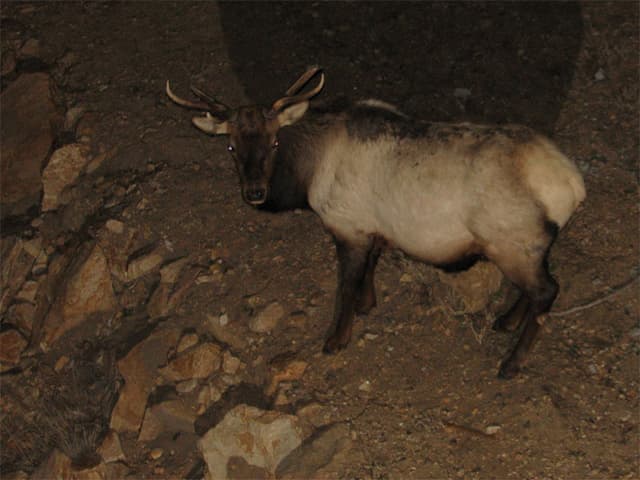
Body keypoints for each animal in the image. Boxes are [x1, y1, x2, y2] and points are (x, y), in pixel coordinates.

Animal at [165, 66, 586, 378]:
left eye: (273, 142)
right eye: (231, 146)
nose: (254, 193)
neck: (307, 173)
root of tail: (572, 184)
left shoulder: (345, 223)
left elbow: (346, 286)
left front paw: (336, 338)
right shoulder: (373, 227)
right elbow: (371, 266)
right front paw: (369, 303)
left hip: (510, 241)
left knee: (547, 290)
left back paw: (512, 362)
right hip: (526, 244)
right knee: (538, 285)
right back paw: (506, 321)